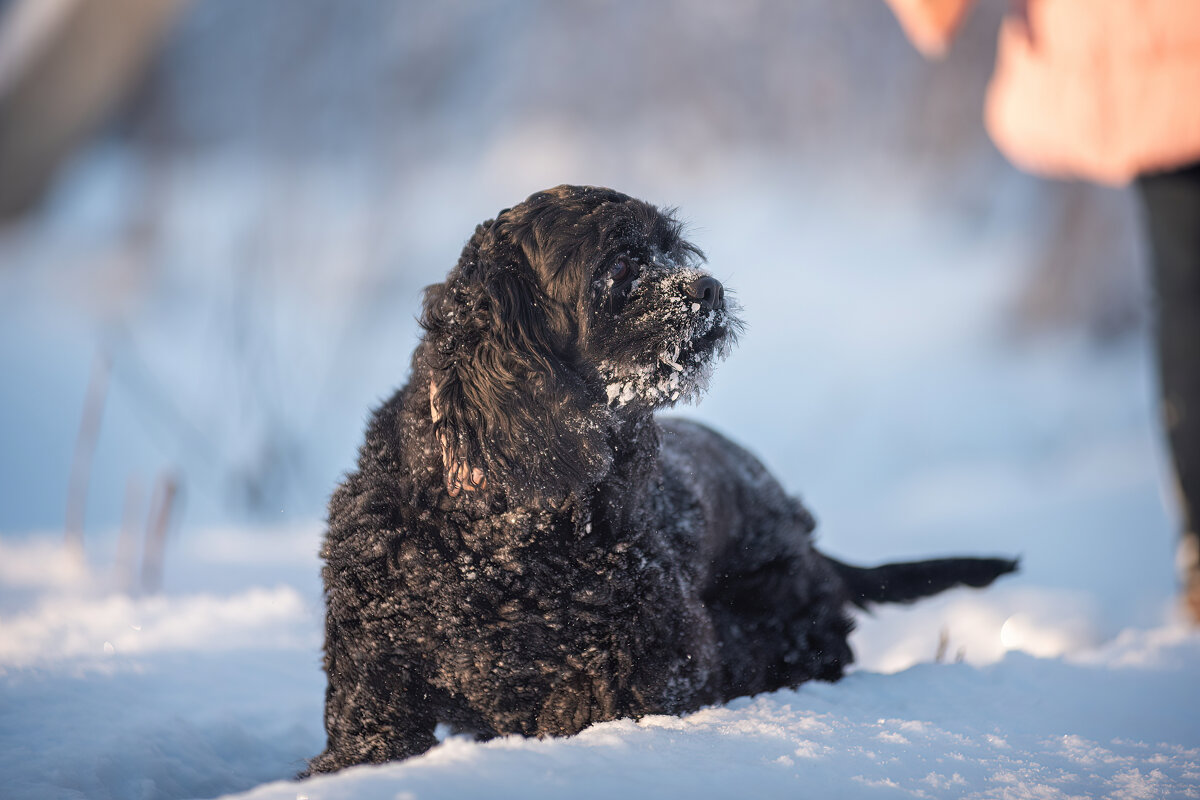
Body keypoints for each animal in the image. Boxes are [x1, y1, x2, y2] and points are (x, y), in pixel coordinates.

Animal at [307, 184, 1012, 772]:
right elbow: (365, 742)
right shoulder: (373, 669)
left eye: (672, 250)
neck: (500, 536)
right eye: (618, 266)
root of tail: (801, 531)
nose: (710, 288)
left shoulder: (647, 663)